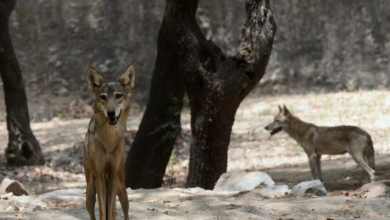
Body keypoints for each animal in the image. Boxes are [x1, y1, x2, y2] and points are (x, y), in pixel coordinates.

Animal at [84, 65, 136, 220]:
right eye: (103, 97)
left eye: (118, 96)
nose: (111, 112)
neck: (109, 140)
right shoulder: (101, 176)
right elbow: (103, 212)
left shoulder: (112, 175)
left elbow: (111, 210)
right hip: (90, 192)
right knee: (92, 213)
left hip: (121, 189)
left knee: (124, 211)